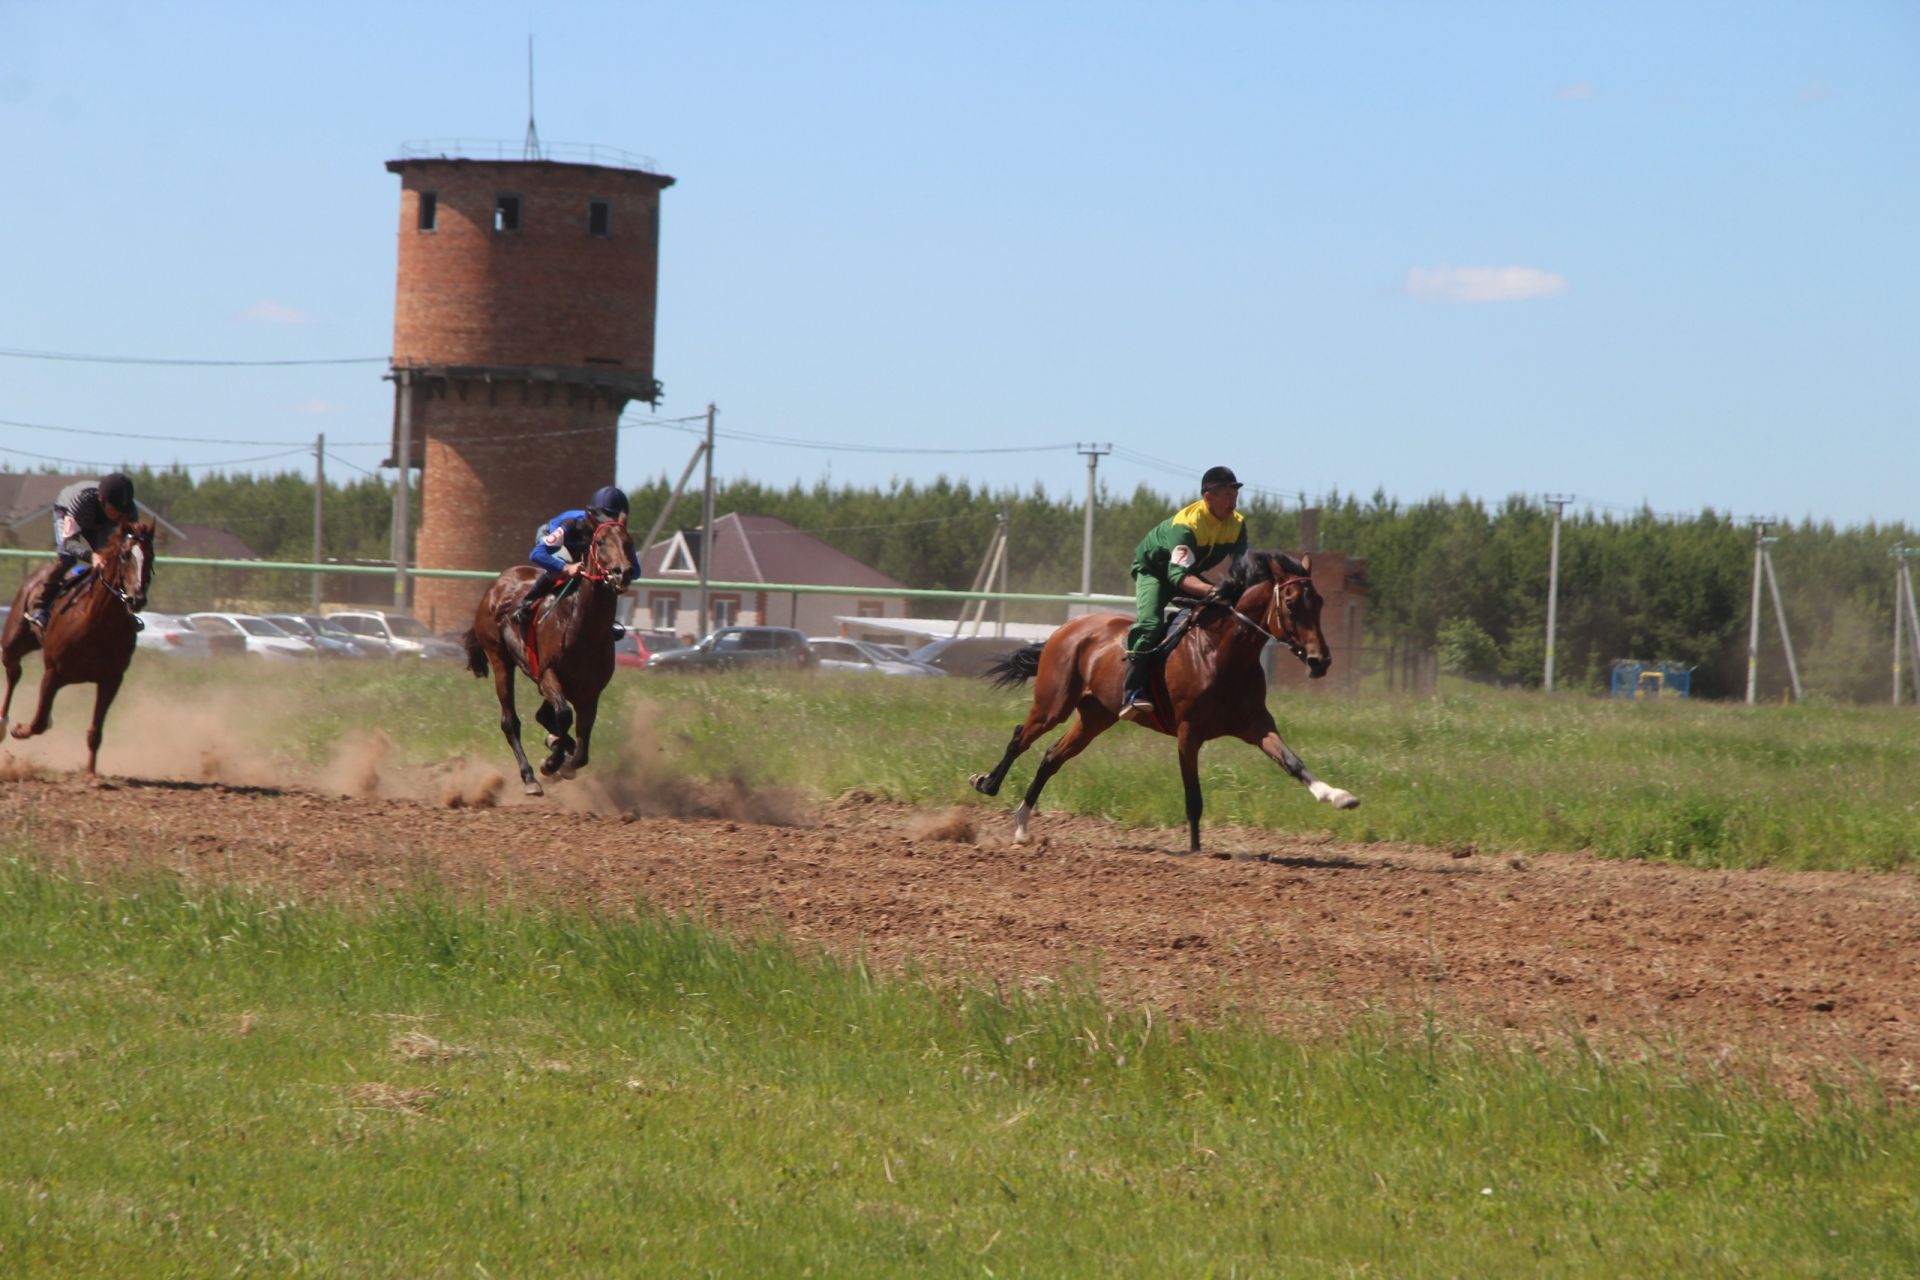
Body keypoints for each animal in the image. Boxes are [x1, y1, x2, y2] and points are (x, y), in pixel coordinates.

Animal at [3, 518, 155, 782]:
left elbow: (95, 731)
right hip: (13, 641)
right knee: (13, 673)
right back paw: (2, 724)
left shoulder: (111, 679)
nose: (137, 599)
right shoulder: (53, 672)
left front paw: (91, 774)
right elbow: (39, 721)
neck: (97, 621)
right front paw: (20, 730)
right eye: (125, 555)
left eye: (151, 556)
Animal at [460, 514, 641, 794]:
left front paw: (564, 760)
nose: (622, 572)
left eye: (629, 542)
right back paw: (530, 777)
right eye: (600, 542)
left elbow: (582, 744)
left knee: (544, 716)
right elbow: (564, 715)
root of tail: (497, 584)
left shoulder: (590, 693)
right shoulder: (547, 674)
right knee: (510, 721)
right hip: (500, 659)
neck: (583, 629)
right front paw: (551, 763)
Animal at [967, 548, 1359, 855]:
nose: (1320, 661)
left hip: (1096, 717)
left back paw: (1021, 825)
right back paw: (987, 784)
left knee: (1051, 757)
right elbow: (1193, 797)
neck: (1221, 654)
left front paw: (1338, 796)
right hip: (1053, 704)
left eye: (1319, 602)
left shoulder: (1256, 724)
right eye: (1290, 604)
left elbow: (1292, 761)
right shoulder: (1189, 734)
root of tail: (1065, 630)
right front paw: (1196, 852)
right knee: (1020, 737)